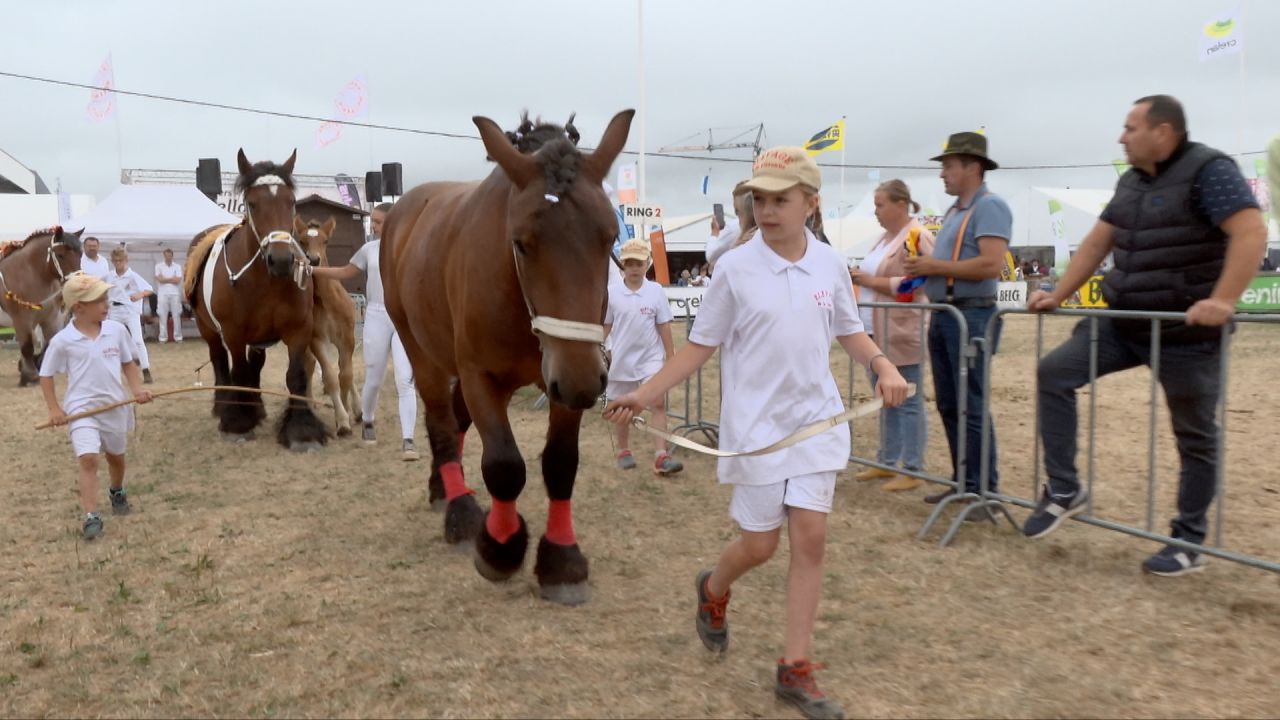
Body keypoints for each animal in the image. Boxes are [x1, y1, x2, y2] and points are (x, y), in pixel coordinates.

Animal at [0, 227, 83, 386]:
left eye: (80, 253)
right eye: (61, 255)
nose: (78, 284)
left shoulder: (51, 318)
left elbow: (50, 343)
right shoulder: (22, 320)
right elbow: (27, 346)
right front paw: (30, 376)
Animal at [186, 149, 328, 450]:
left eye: (291, 202)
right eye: (252, 203)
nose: (282, 260)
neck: (265, 282)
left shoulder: (299, 329)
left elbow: (296, 376)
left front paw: (302, 430)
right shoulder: (234, 333)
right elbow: (237, 373)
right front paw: (237, 423)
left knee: (255, 365)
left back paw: (256, 407)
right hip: (209, 330)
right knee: (219, 361)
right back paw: (225, 407)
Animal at [295, 215, 358, 437]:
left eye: (325, 241)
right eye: (302, 240)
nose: (313, 260)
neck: (327, 302)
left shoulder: (347, 338)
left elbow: (345, 375)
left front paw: (347, 410)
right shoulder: (317, 340)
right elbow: (331, 378)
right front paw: (343, 421)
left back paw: (359, 410)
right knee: (310, 366)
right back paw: (309, 403)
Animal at [382, 109, 634, 605]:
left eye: (611, 236)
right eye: (521, 242)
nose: (583, 383)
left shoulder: (568, 372)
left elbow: (560, 463)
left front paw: (561, 560)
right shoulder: (481, 375)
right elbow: (504, 464)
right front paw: (499, 546)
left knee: (455, 422)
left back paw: (443, 484)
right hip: (419, 347)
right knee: (442, 422)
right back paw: (460, 511)